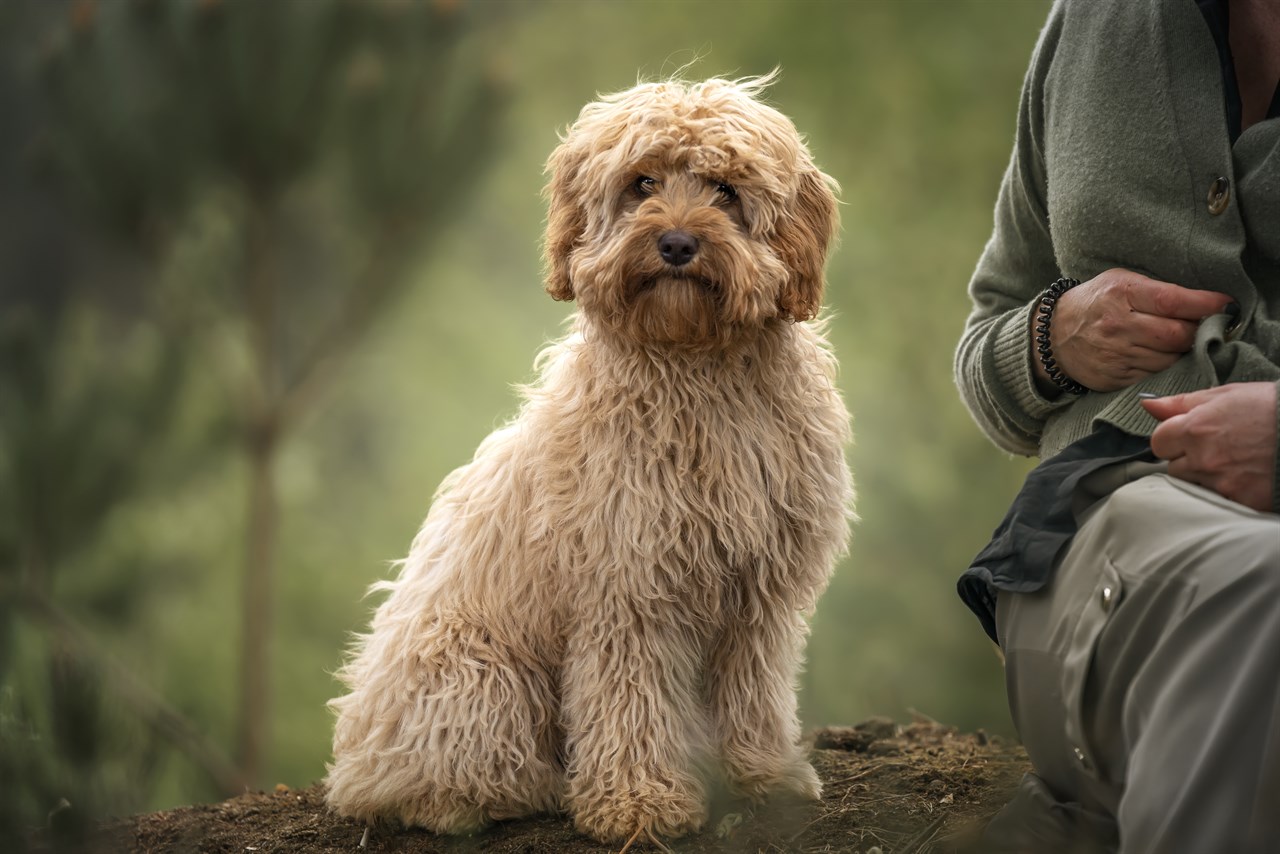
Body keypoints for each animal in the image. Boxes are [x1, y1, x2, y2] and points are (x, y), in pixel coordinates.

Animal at [325, 75, 855, 850]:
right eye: (642, 184)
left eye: (726, 190)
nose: (676, 243)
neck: (696, 371)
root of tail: (356, 754)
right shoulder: (627, 587)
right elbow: (630, 700)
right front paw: (639, 804)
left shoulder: (759, 592)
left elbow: (752, 687)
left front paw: (764, 776)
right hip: (478, 675)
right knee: (437, 779)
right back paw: (498, 796)